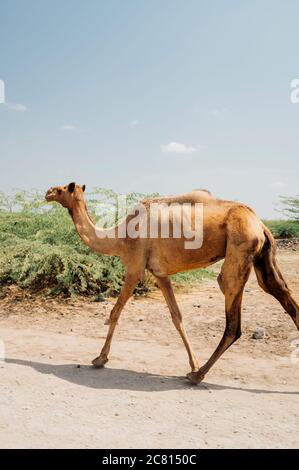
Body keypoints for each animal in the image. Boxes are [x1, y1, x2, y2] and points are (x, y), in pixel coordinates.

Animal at [45, 182, 299, 384]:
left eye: (62, 188)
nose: (47, 192)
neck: (119, 236)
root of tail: (261, 224)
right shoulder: (160, 274)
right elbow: (177, 317)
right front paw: (192, 362)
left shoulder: (135, 267)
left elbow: (115, 312)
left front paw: (100, 358)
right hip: (263, 257)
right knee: (281, 293)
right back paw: (198, 371)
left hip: (240, 246)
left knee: (232, 318)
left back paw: (198, 375)